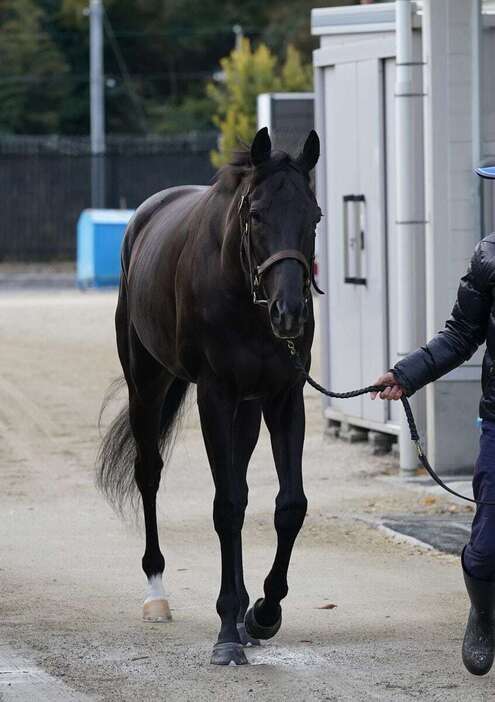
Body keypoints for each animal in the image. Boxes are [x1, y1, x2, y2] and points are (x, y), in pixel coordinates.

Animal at [98, 128, 322, 664]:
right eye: (255, 214)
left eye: (315, 216)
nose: (289, 313)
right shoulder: (214, 397)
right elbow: (226, 507)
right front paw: (226, 633)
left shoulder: (284, 397)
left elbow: (288, 505)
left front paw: (261, 614)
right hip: (146, 385)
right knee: (149, 474)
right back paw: (157, 593)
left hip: (248, 408)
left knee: (238, 480)